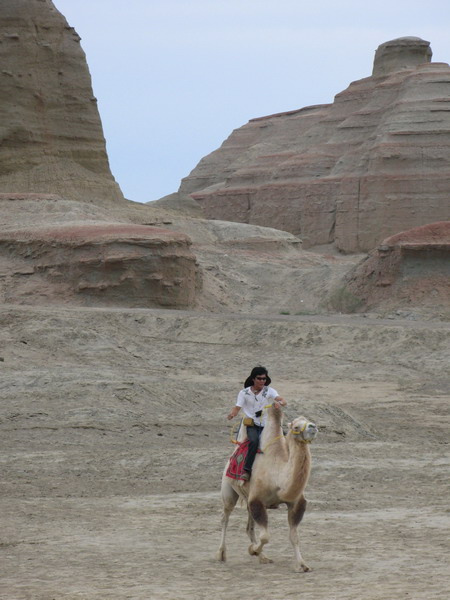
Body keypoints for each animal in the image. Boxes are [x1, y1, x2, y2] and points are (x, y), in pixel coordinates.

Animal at [217, 404, 316, 572]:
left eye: (308, 420)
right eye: (296, 426)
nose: (313, 426)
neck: (277, 474)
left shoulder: (295, 503)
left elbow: (294, 536)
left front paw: (302, 565)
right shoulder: (257, 500)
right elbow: (265, 536)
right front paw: (253, 550)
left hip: (247, 498)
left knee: (248, 527)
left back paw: (263, 557)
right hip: (228, 490)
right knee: (225, 517)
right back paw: (222, 554)